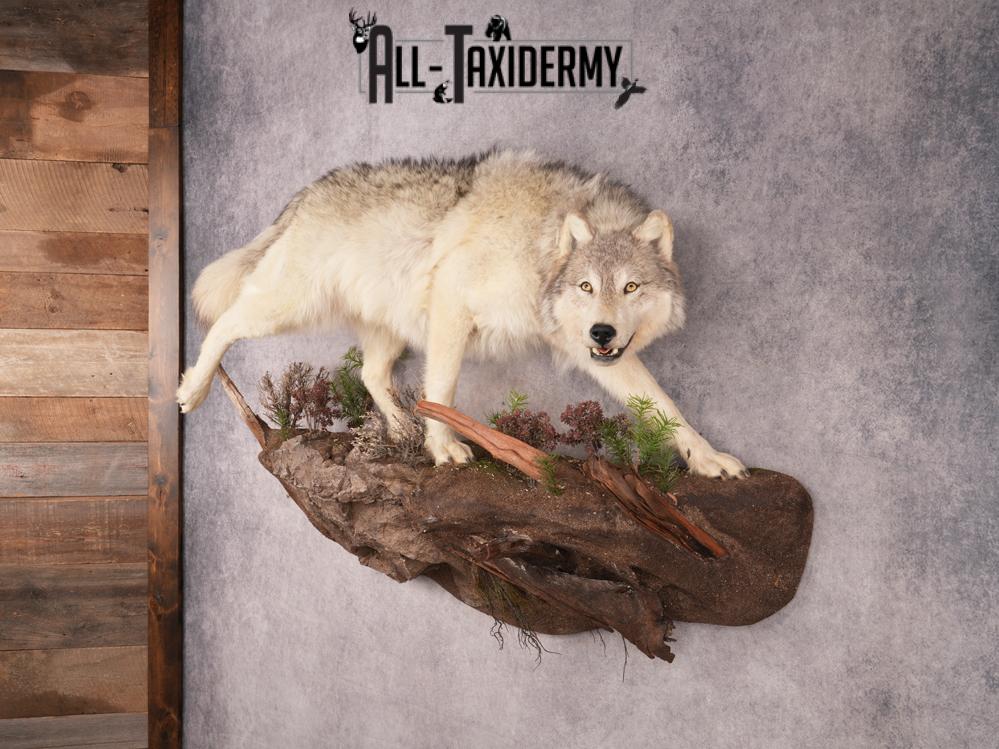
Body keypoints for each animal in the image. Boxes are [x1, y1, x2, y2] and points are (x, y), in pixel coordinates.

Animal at [177, 149, 747, 478]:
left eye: (630, 286)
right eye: (586, 286)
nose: (602, 331)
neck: (539, 245)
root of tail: (306, 193)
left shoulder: (596, 355)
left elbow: (665, 406)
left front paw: (707, 460)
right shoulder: (452, 303)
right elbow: (443, 390)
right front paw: (444, 448)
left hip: (389, 327)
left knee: (370, 373)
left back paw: (401, 430)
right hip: (286, 309)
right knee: (223, 323)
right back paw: (192, 390)